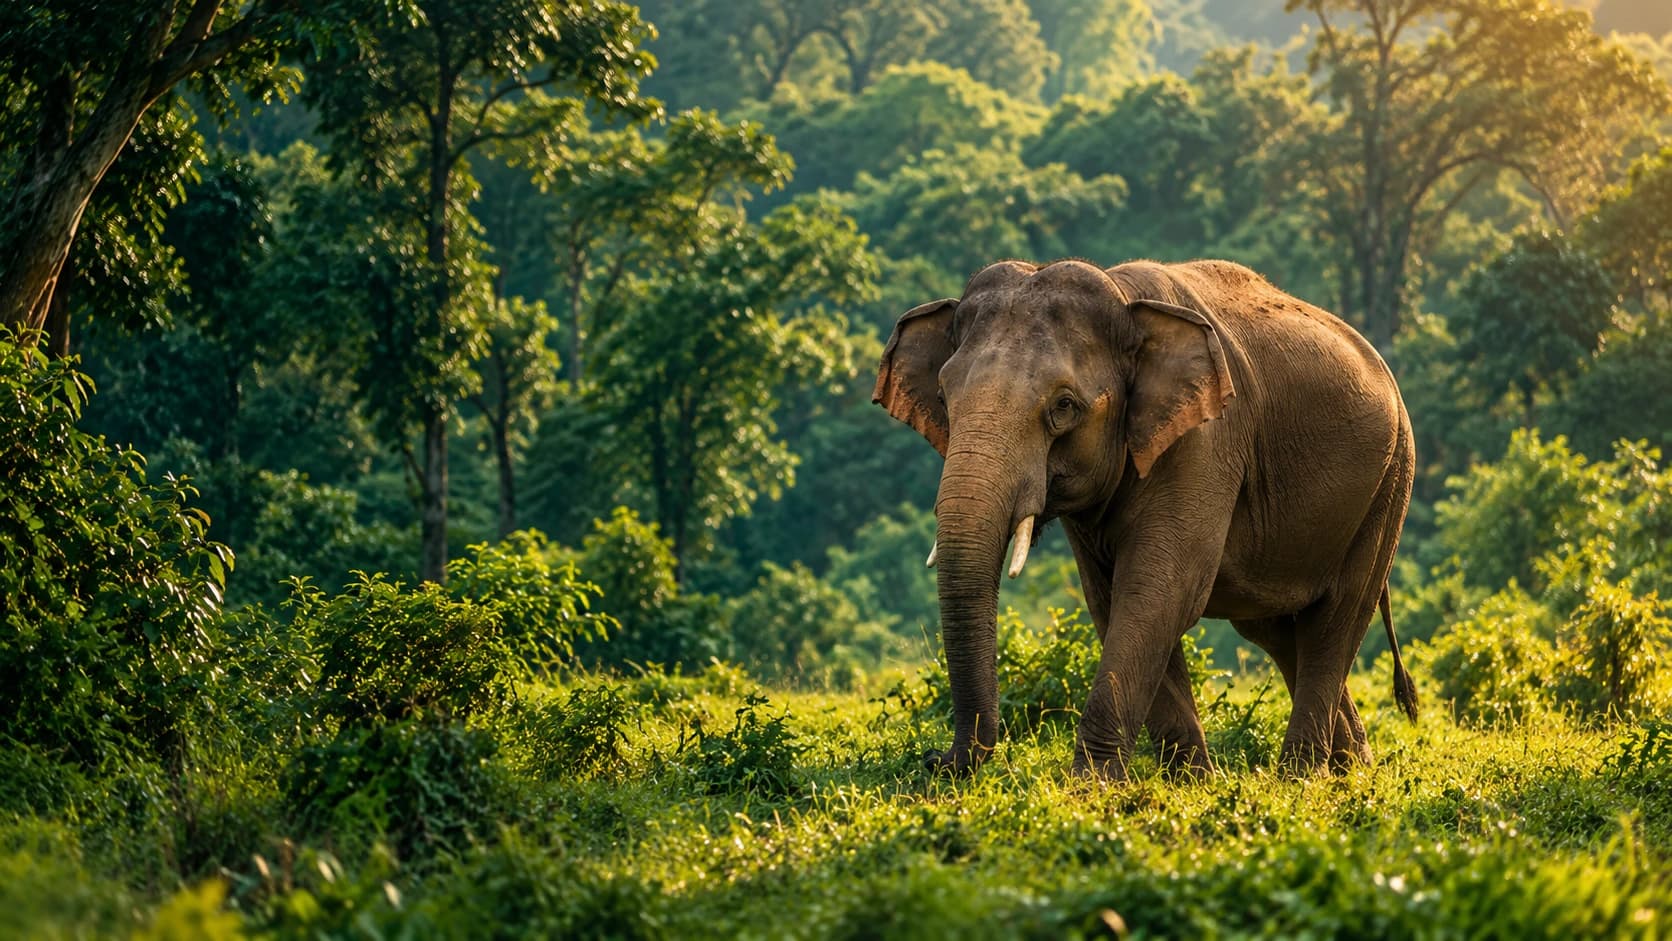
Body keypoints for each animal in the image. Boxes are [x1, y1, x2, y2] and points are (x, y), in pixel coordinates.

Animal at [873, 258, 1418, 779]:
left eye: (1064, 407)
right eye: (944, 398)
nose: (935, 760)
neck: (1123, 298)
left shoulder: (1205, 442)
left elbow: (1160, 592)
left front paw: (1092, 785)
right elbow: (1112, 599)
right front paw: (1191, 782)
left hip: (1390, 483)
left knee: (1337, 618)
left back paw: (1300, 776)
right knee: (1278, 632)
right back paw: (1351, 767)